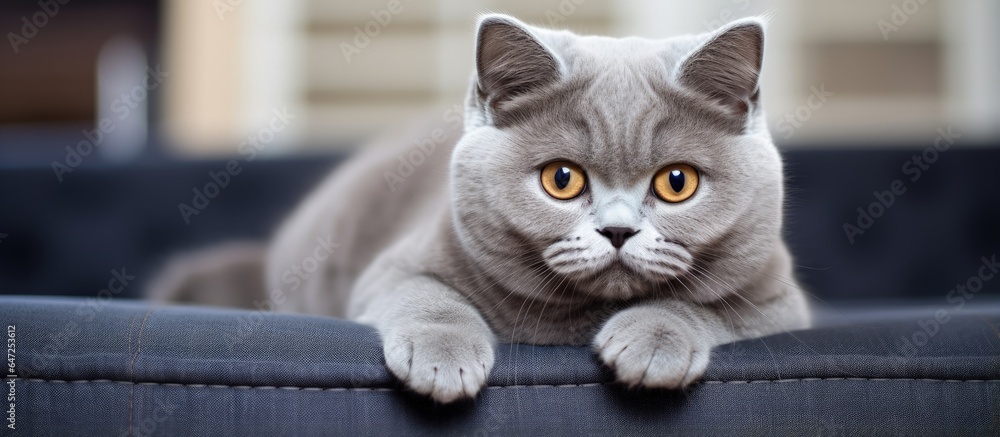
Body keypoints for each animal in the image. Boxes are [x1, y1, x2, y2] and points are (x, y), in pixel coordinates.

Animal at [154, 13, 812, 402]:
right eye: (562, 180)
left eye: (678, 182)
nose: (618, 230)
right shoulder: (394, 267)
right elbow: (428, 296)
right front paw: (442, 359)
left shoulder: (779, 302)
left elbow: (705, 306)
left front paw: (653, 341)